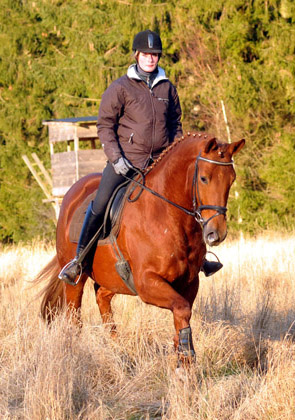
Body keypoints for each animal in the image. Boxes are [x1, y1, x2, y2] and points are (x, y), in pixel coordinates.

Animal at [35, 134, 245, 360]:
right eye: (204, 178)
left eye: (231, 179)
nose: (216, 234)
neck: (167, 216)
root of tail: (72, 193)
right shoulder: (146, 283)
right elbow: (182, 310)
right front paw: (185, 357)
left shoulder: (189, 283)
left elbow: (182, 317)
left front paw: (182, 357)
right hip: (76, 280)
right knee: (74, 318)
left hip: (114, 279)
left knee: (102, 298)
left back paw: (116, 349)